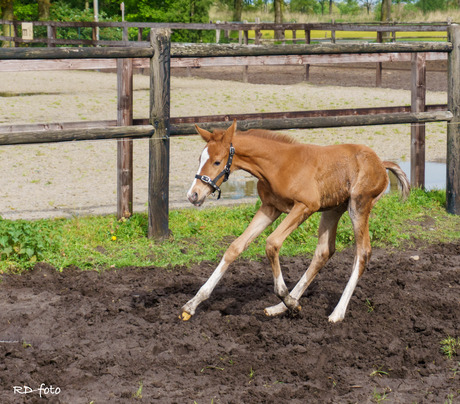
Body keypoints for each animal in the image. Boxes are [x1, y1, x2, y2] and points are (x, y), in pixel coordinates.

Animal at [180, 120, 410, 322]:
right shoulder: (270, 208)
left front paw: (286, 296)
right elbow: (235, 247)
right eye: (199, 159)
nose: (193, 195)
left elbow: (272, 243)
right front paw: (191, 305)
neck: (277, 165)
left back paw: (336, 313)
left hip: (359, 205)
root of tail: (381, 164)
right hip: (333, 209)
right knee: (324, 251)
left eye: (217, 161)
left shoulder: (305, 206)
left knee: (362, 252)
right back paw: (280, 307)